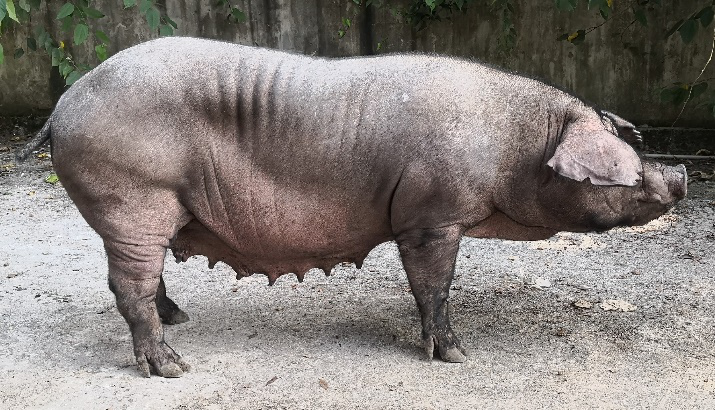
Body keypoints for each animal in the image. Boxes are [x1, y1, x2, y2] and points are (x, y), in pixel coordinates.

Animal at [17, 37, 687, 378]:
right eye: (626, 168)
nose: (679, 174)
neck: (515, 147)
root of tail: (65, 103)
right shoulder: (430, 215)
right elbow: (433, 286)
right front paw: (459, 356)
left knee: (146, 277)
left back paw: (180, 318)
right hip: (131, 198)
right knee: (125, 284)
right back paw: (174, 367)